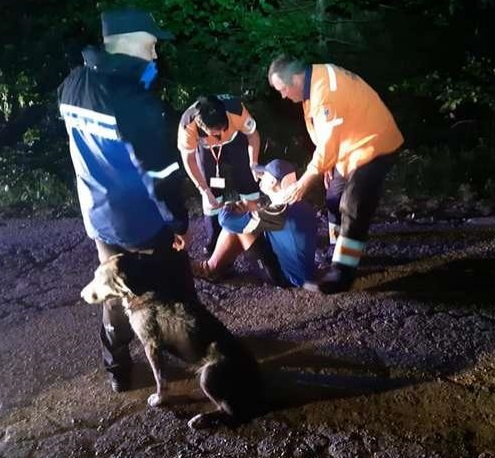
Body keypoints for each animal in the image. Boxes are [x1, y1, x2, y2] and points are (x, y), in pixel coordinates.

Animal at [81, 252, 263, 429]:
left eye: (99, 278)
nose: (81, 295)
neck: (141, 288)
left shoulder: (151, 345)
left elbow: (159, 378)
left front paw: (159, 399)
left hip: (208, 375)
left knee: (231, 412)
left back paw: (200, 419)